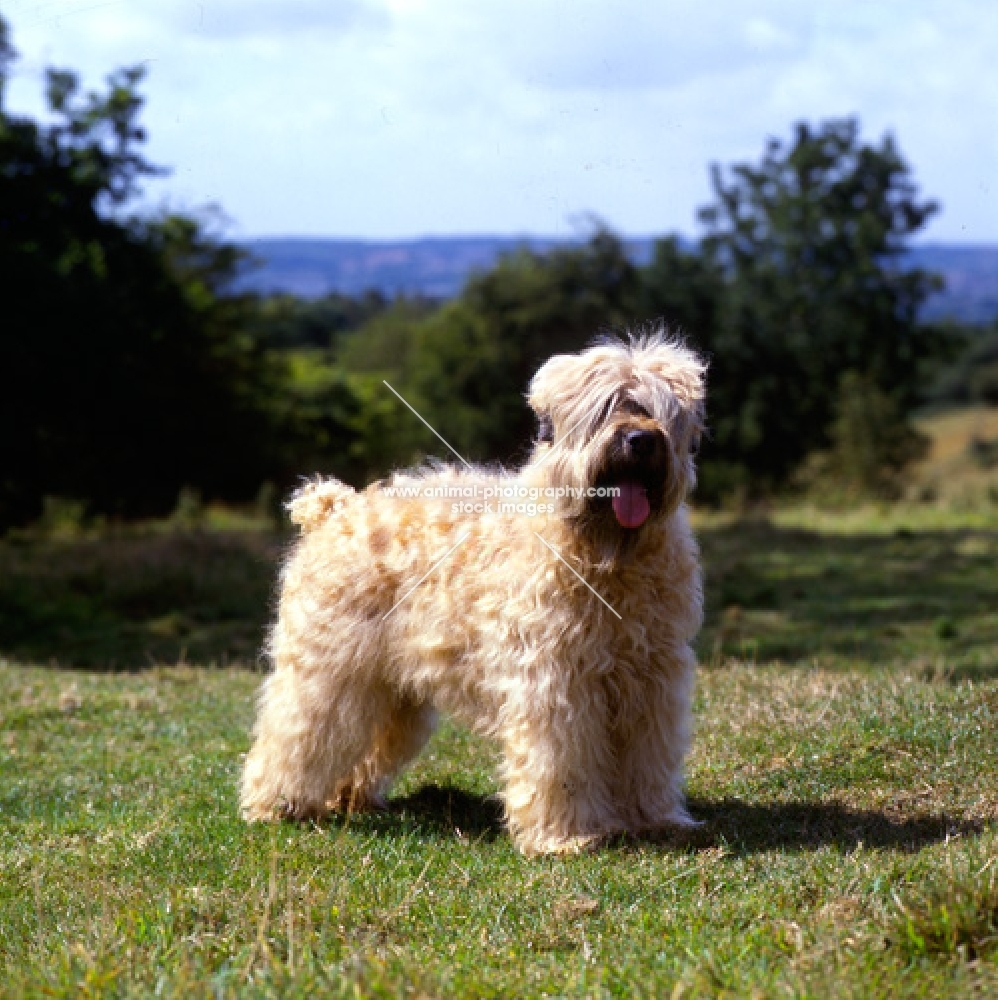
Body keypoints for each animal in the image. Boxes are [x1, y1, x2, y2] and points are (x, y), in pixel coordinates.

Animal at [240, 332, 712, 856]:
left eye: (655, 408)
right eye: (607, 406)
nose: (641, 439)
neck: (606, 558)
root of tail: (335, 508)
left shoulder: (652, 682)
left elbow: (649, 757)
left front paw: (655, 820)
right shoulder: (557, 682)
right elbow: (561, 763)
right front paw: (565, 837)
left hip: (389, 687)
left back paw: (348, 798)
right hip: (327, 670)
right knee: (295, 733)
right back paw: (275, 805)